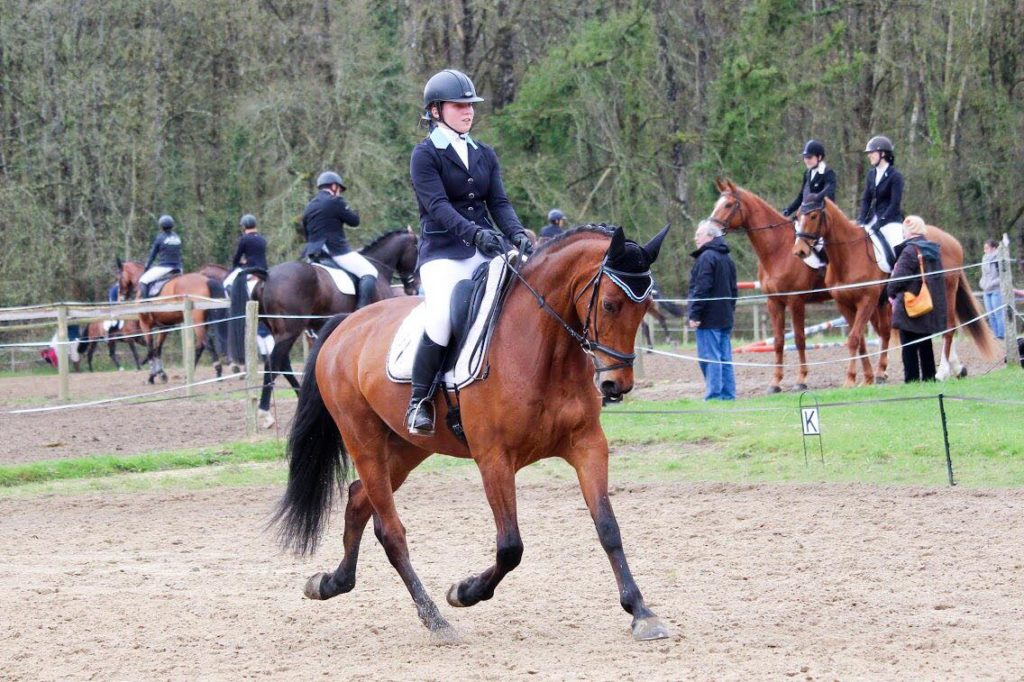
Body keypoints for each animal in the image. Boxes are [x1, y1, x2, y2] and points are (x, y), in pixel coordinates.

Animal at [231, 229, 419, 430]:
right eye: (416, 248)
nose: (413, 288)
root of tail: (267, 275)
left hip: (281, 331)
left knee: (282, 362)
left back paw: (300, 398)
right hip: (290, 330)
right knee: (274, 362)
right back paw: (265, 412)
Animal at [272, 225, 671, 638]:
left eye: (644, 307)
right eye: (609, 304)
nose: (615, 385)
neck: (543, 348)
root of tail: (346, 323)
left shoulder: (587, 444)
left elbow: (608, 527)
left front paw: (641, 611)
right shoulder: (494, 459)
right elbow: (510, 546)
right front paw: (465, 592)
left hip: (407, 448)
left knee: (358, 501)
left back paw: (331, 583)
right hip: (362, 439)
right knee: (391, 530)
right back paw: (434, 617)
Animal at [790, 200, 999, 382]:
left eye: (814, 216)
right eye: (798, 216)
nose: (799, 251)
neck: (849, 255)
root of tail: (952, 241)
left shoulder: (867, 302)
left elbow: (855, 338)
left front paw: (852, 378)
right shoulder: (846, 305)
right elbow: (863, 339)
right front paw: (870, 376)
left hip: (947, 290)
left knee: (948, 327)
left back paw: (943, 371)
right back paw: (955, 368)